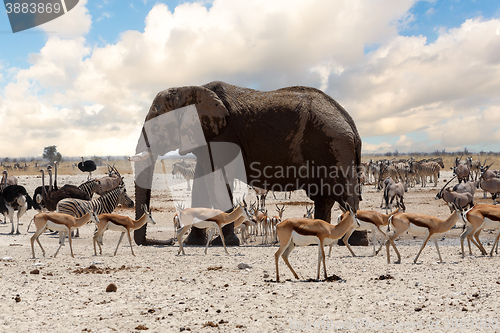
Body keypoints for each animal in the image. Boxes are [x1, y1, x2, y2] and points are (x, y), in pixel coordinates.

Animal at [132, 81, 364, 245]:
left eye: (158, 125)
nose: (165, 241)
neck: (190, 89)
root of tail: (351, 123)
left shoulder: (224, 136)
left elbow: (218, 180)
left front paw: (223, 242)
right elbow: (201, 182)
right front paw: (193, 243)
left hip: (334, 146)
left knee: (342, 194)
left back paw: (353, 241)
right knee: (324, 198)